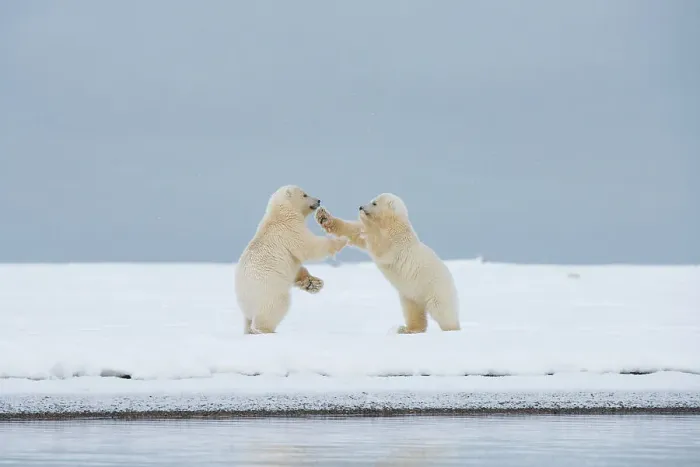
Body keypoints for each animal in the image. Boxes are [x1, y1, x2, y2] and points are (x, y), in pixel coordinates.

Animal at [235, 185, 348, 334]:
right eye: (305, 194)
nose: (318, 200)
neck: (280, 213)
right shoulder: (290, 229)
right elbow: (310, 246)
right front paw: (342, 240)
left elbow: (297, 268)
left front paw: (313, 283)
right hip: (269, 290)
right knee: (276, 307)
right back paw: (265, 330)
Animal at [315, 193, 460, 334]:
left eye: (374, 203)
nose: (361, 207)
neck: (394, 223)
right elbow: (355, 232)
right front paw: (324, 217)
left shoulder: (396, 240)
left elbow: (378, 244)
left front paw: (364, 220)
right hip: (410, 295)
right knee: (413, 310)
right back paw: (408, 329)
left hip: (435, 288)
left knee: (442, 311)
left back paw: (452, 329)